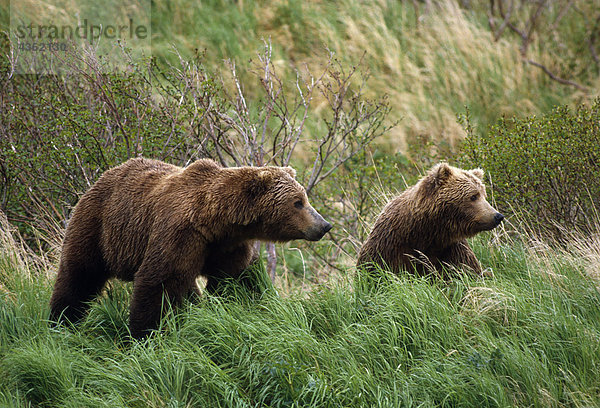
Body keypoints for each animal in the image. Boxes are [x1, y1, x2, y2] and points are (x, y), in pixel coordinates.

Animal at [50, 158, 332, 340]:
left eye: (304, 198)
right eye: (297, 202)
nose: (324, 225)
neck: (216, 221)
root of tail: (103, 176)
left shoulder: (227, 246)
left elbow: (238, 280)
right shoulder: (180, 235)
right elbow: (159, 281)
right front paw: (144, 335)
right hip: (98, 226)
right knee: (79, 274)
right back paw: (61, 320)